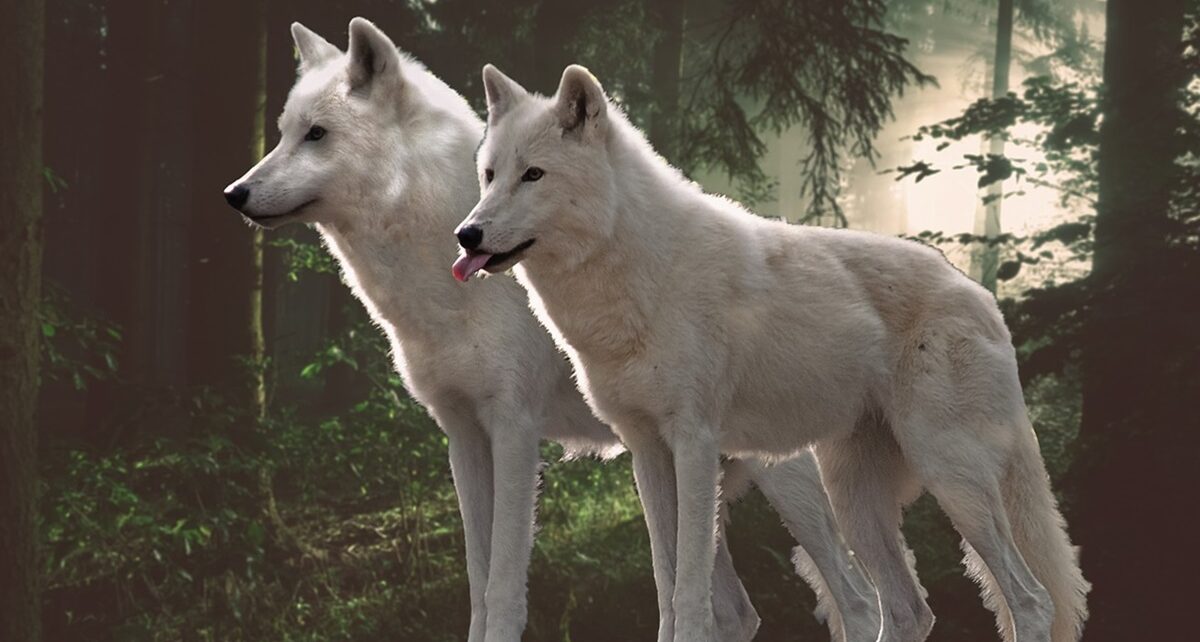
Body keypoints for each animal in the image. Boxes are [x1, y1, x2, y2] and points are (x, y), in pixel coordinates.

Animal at [223, 18, 883, 642]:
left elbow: (501, 590)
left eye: (317, 134)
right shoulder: (462, 436)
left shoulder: (515, 430)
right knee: (736, 612)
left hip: (781, 478)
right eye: (282, 133)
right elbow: (475, 582)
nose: (234, 193)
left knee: (857, 601)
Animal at [455, 64, 1090, 642]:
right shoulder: (646, 451)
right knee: (910, 610)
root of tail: (981, 295)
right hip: (855, 502)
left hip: (948, 478)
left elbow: (691, 596)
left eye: (533, 175)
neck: (638, 276)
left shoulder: (694, 443)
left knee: (1030, 600)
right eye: (489, 176)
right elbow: (665, 585)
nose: (466, 235)